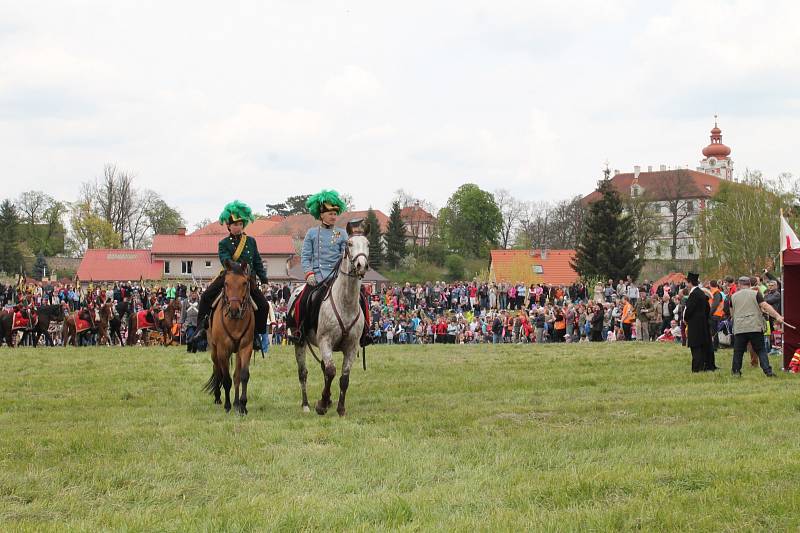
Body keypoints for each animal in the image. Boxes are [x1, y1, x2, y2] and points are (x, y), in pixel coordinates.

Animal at [203, 260, 256, 414]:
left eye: (244, 283)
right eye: (226, 283)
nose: (234, 310)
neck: (234, 321)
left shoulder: (246, 347)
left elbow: (243, 376)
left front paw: (242, 405)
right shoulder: (223, 349)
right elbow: (226, 379)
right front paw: (227, 405)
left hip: (237, 352)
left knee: (236, 375)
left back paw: (237, 403)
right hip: (214, 350)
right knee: (217, 370)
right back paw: (218, 397)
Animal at [292, 223, 370, 416]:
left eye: (367, 244)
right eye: (349, 244)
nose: (361, 265)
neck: (345, 303)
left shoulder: (351, 346)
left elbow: (343, 378)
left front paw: (340, 408)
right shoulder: (325, 341)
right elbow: (331, 371)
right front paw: (322, 403)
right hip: (299, 343)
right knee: (303, 373)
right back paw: (306, 405)